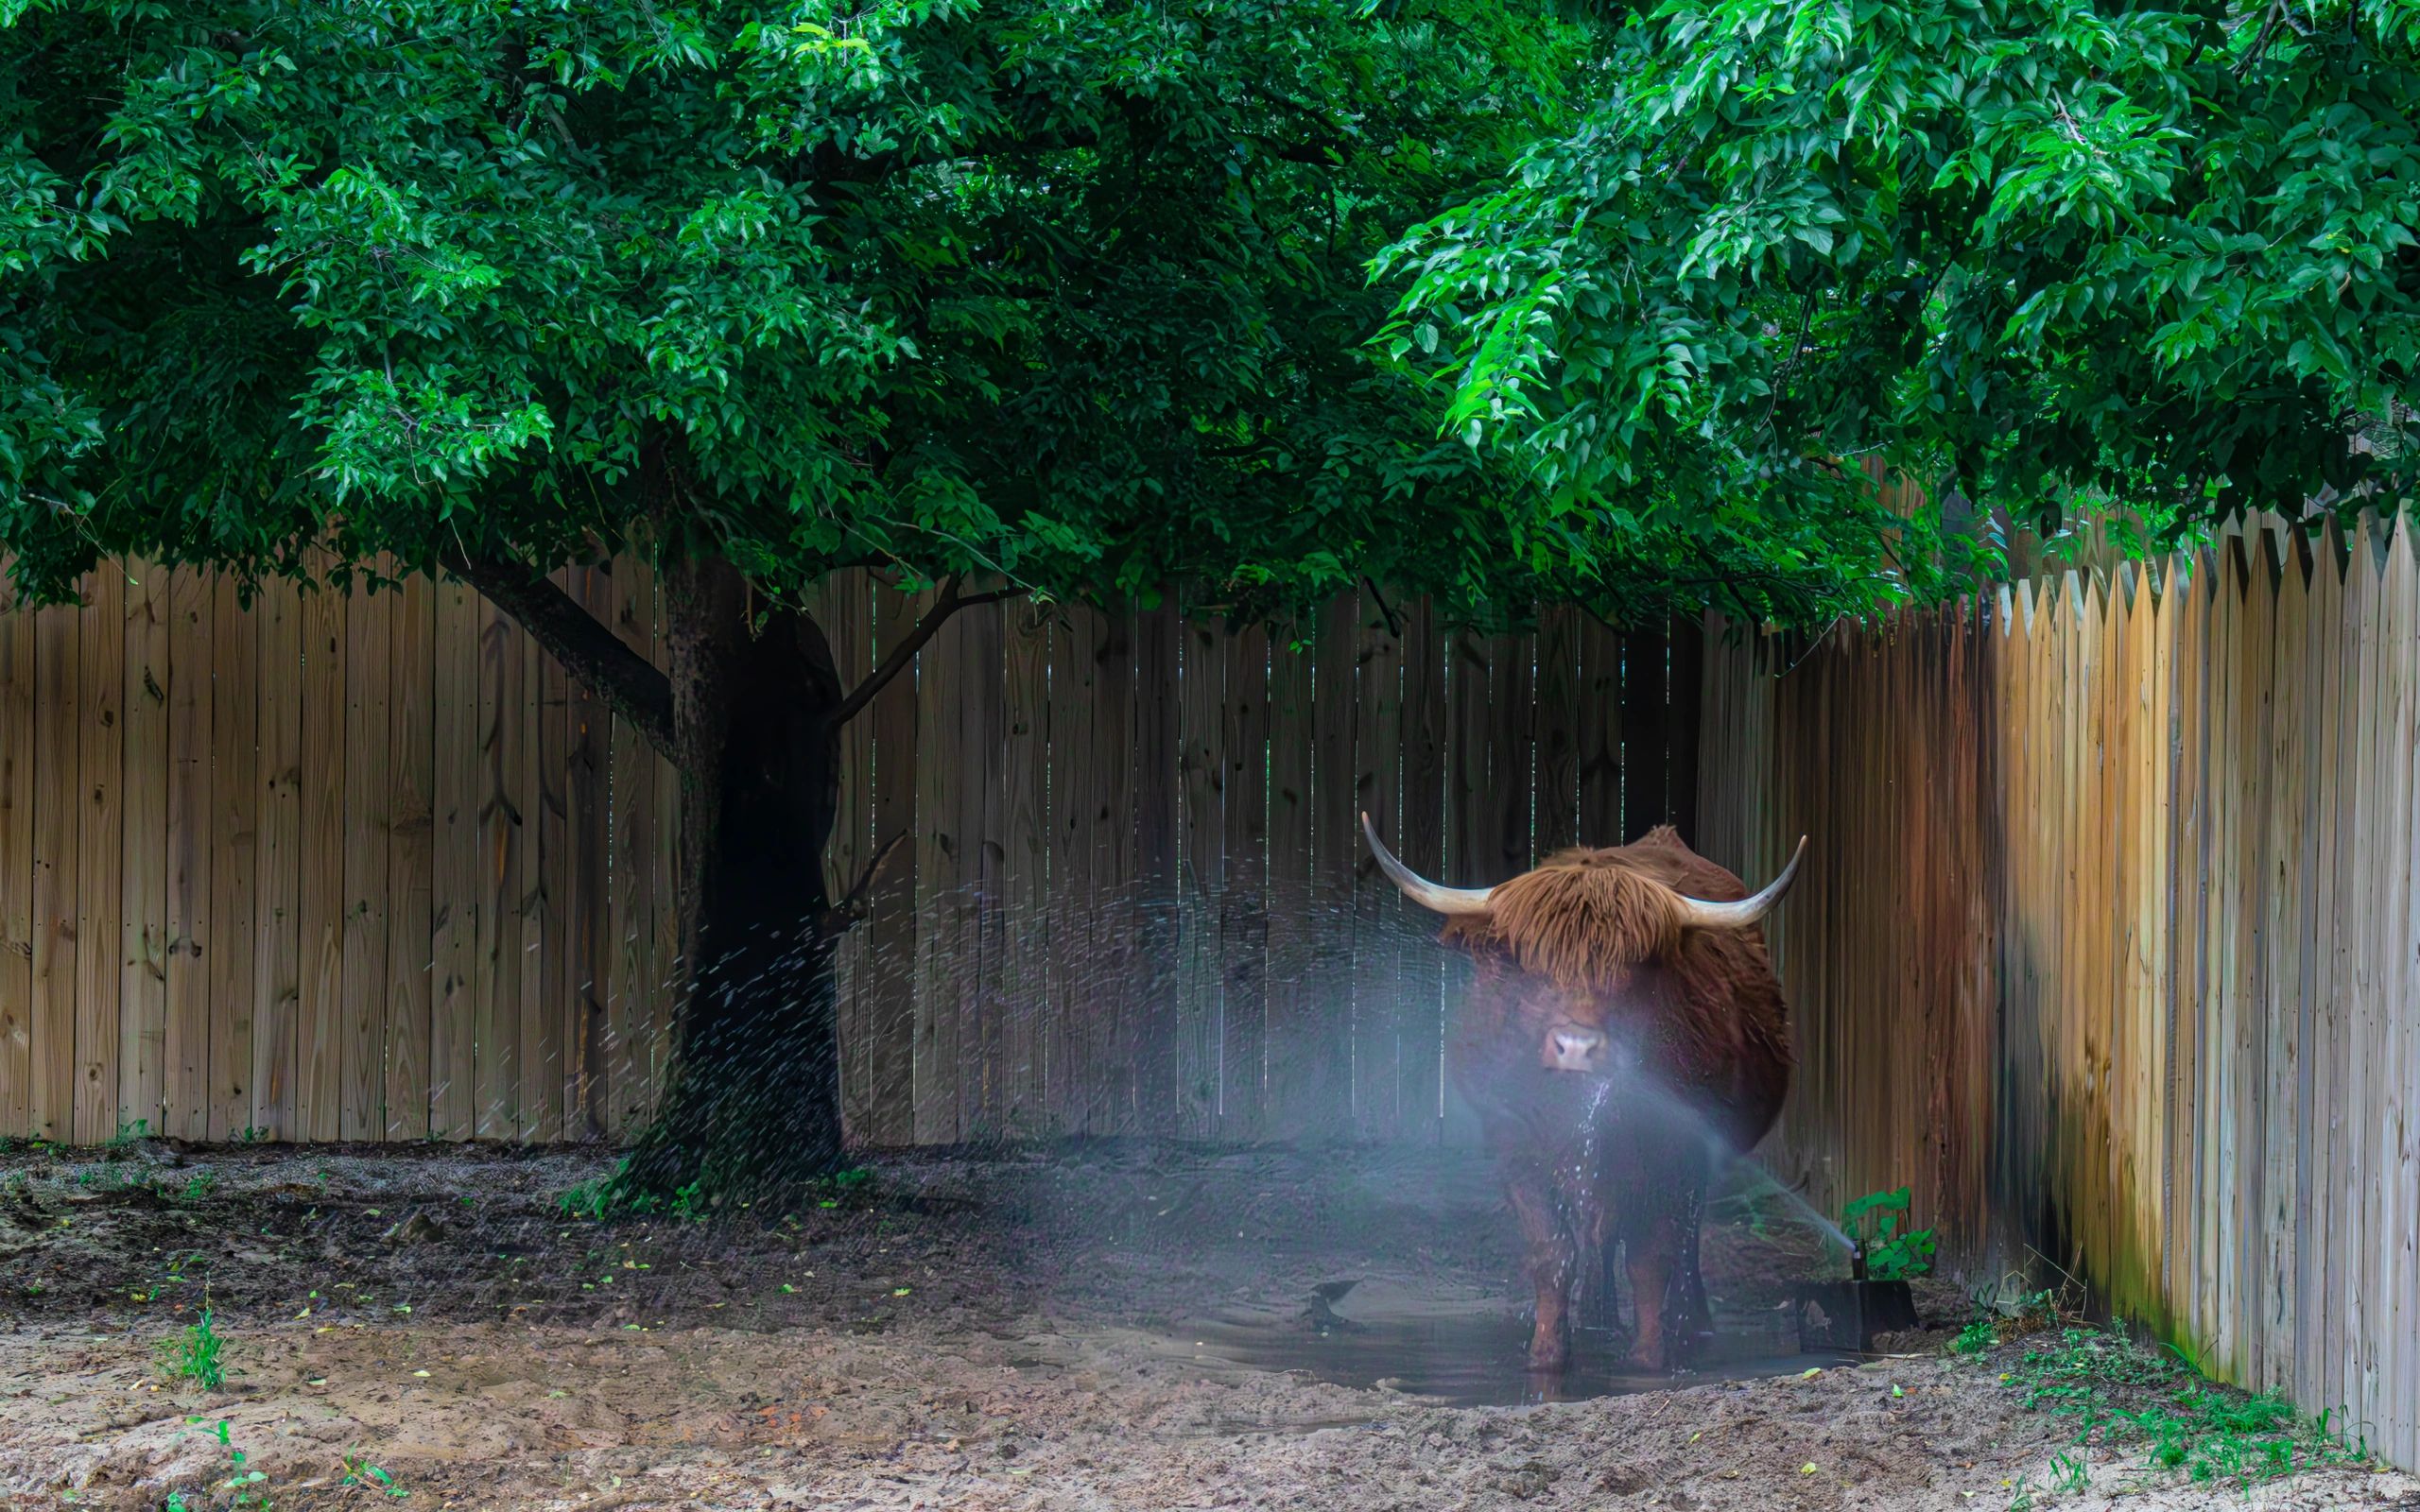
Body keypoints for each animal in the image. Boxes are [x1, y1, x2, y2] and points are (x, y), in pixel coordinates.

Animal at [1361, 813, 1805, 1376]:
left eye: (1634, 968)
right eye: (1531, 967)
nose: (1577, 1047)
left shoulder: (1674, 1148)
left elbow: (1651, 1255)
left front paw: (1648, 1354)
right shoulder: (1517, 1147)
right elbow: (1553, 1252)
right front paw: (1548, 1353)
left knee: (1683, 1236)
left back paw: (1689, 1320)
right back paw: (1599, 1316)